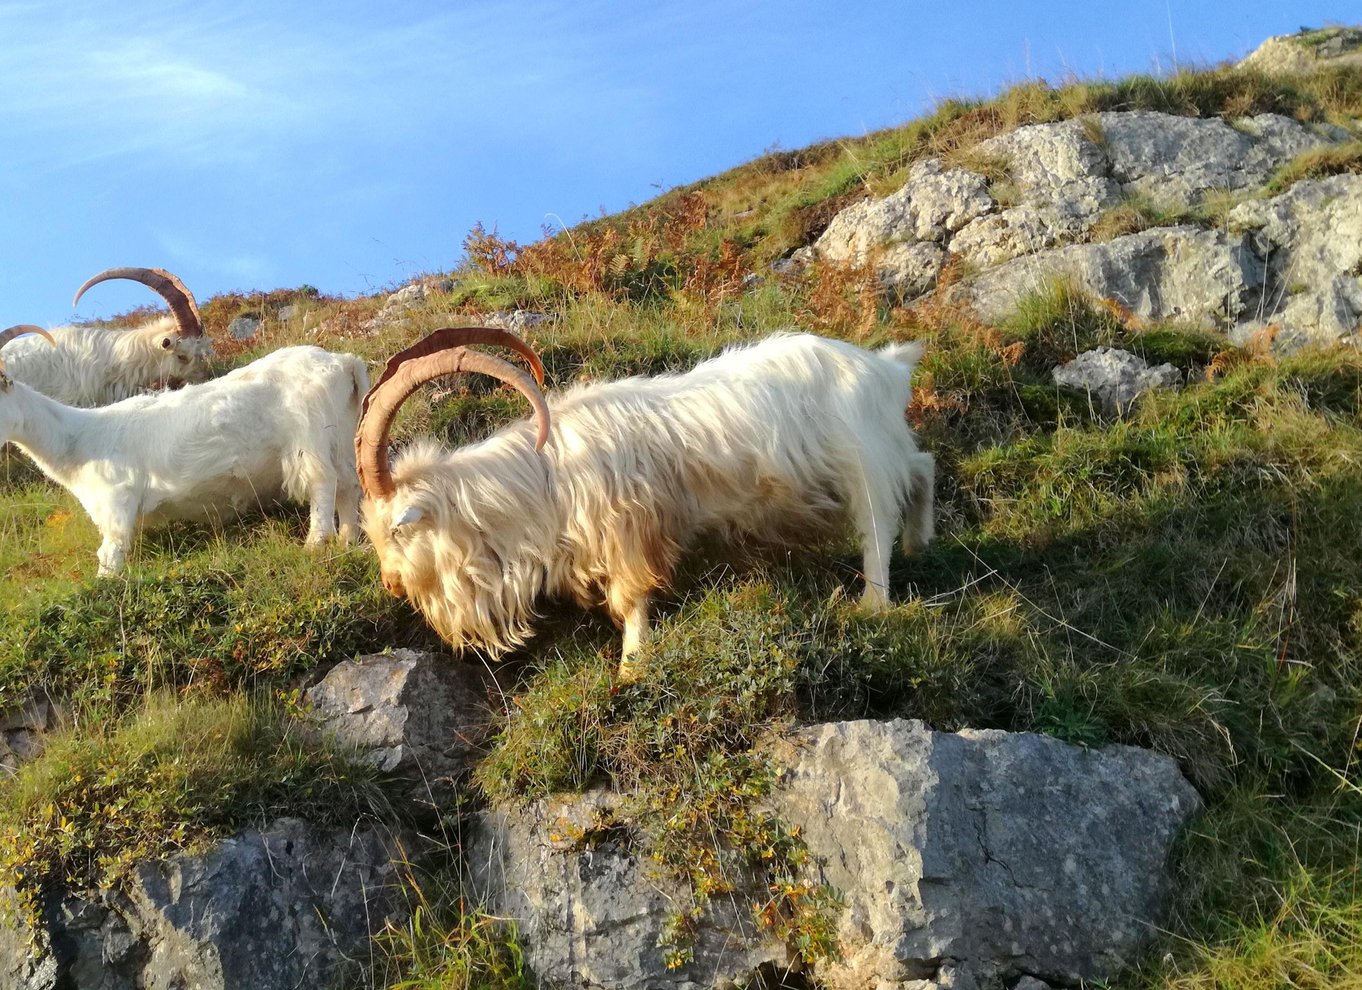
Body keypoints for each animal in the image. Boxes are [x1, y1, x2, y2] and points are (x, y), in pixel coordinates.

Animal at [0, 326, 370, 571]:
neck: (80, 437)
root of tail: (343, 363)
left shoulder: (118, 503)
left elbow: (110, 556)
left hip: (311, 435)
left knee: (324, 484)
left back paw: (315, 545)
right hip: (343, 434)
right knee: (349, 487)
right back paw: (349, 540)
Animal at [354, 329, 937, 678]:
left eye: (397, 530)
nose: (390, 583)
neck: (544, 476)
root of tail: (887, 368)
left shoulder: (629, 529)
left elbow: (630, 599)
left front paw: (632, 666)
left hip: (862, 460)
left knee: (877, 525)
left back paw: (873, 602)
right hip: (880, 450)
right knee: (922, 466)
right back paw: (921, 540)